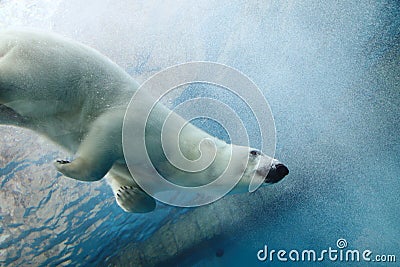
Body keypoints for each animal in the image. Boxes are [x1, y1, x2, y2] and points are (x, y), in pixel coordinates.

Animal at [0, 29, 288, 214]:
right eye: (254, 151)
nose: (281, 168)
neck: (180, 152)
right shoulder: (140, 125)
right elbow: (106, 135)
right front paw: (63, 165)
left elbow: (120, 179)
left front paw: (128, 195)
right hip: (41, 64)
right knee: (18, 78)